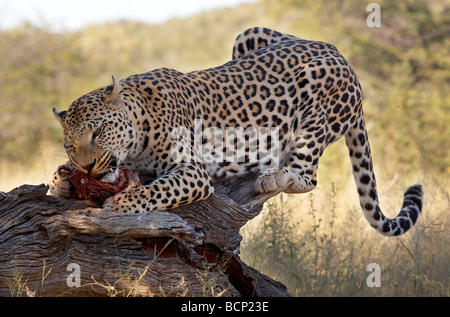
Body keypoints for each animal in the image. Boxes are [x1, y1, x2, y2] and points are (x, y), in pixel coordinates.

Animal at [51, 27, 424, 235]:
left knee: (307, 174)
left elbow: (157, 191)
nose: (87, 167)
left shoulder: (193, 173)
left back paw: (275, 177)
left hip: (318, 99)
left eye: (98, 131)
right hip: (249, 35)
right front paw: (61, 181)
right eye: (70, 145)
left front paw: (119, 204)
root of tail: (337, 52)